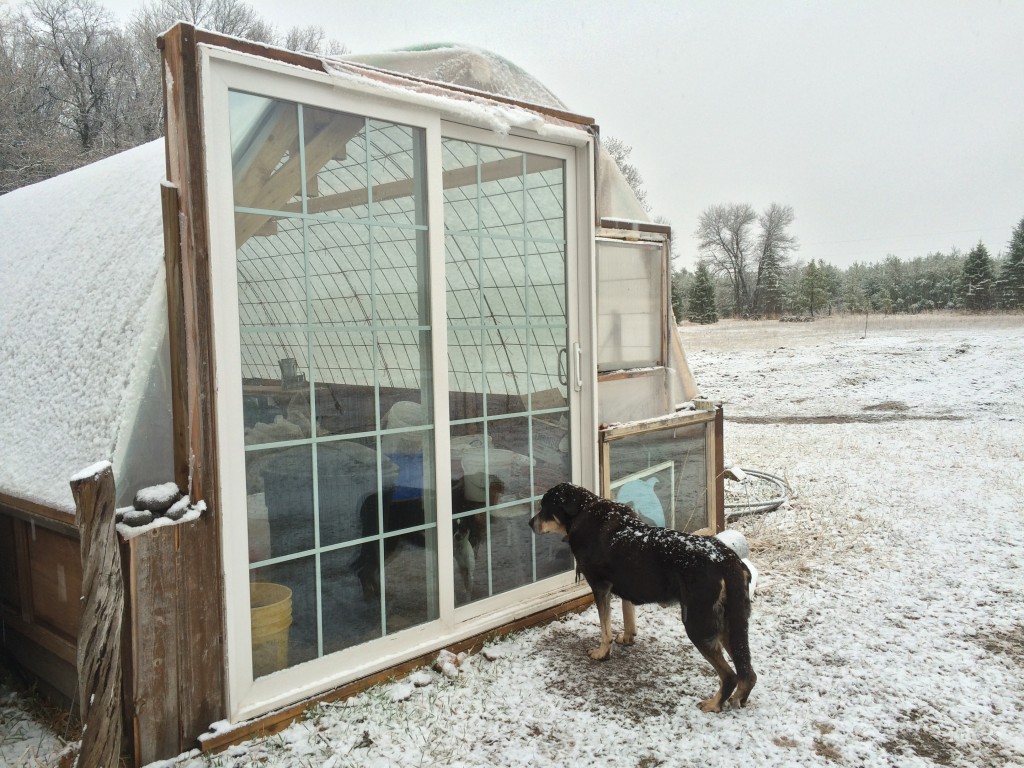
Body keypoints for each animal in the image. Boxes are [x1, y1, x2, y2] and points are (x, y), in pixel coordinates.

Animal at [532, 483, 757, 712]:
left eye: (545, 507)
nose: (530, 523)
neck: (582, 512)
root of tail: (727, 560)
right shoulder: (625, 585)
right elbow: (628, 614)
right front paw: (627, 638)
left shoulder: (600, 586)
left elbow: (605, 629)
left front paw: (602, 653)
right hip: (731, 622)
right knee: (748, 673)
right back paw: (737, 699)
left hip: (699, 624)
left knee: (730, 675)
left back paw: (713, 704)